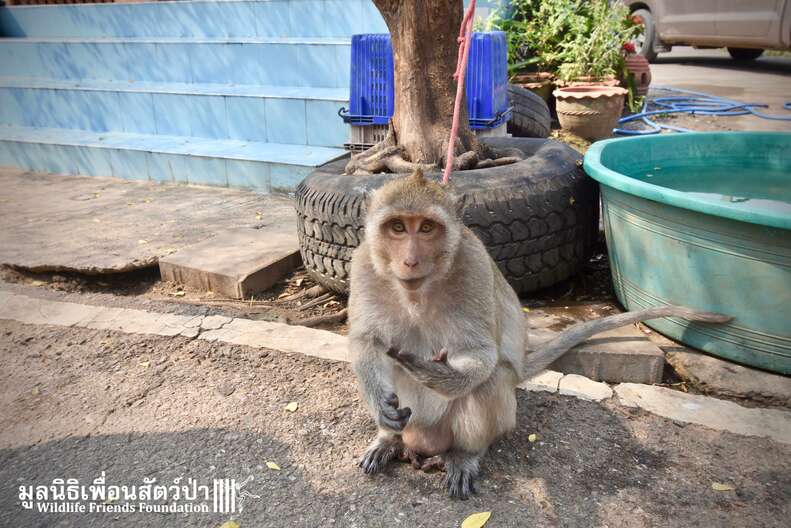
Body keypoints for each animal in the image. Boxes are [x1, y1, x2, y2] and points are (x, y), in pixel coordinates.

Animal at [348, 169, 730, 499]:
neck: (418, 292)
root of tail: (423, 445)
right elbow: (366, 341)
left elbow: (481, 354)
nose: (410, 261)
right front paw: (380, 404)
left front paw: (437, 374)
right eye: (398, 227)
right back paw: (389, 440)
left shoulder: (472, 265)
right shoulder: (363, 264)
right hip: (413, 425)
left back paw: (464, 455)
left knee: (491, 379)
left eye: (427, 228)